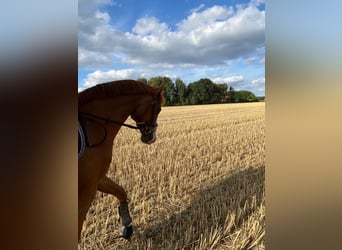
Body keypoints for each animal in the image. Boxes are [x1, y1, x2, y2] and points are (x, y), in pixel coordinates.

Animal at [78, 79, 164, 240]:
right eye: (159, 109)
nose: (152, 138)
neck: (93, 125)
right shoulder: (88, 186)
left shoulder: (97, 178)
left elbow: (121, 191)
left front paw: (127, 227)